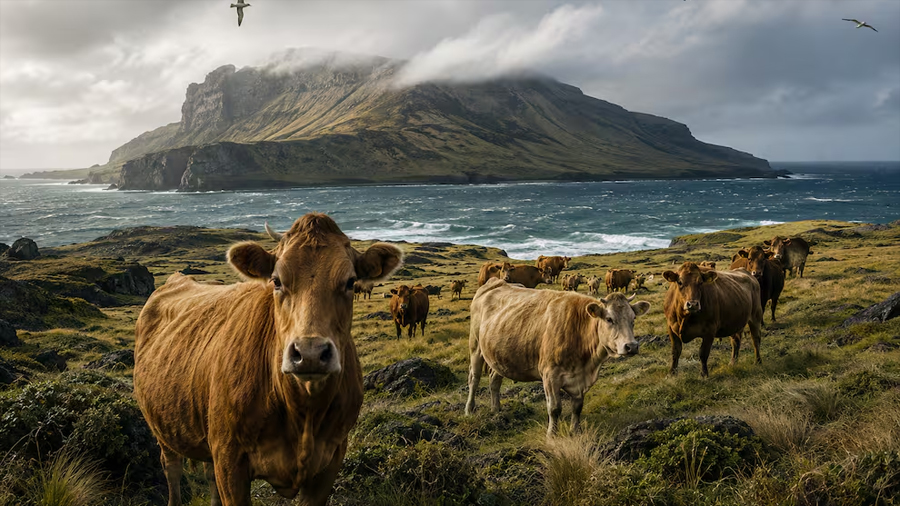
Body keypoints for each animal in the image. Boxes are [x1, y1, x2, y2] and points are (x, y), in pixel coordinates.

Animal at [133, 213, 403, 506]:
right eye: (276, 280)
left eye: (351, 282)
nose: (310, 353)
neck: (303, 413)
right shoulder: (229, 458)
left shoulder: (331, 460)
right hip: (162, 426)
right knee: (172, 468)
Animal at [466, 278, 650, 435]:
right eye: (609, 319)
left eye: (633, 318)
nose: (631, 346)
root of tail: (496, 282)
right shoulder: (550, 375)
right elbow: (554, 408)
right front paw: (551, 435)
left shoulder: (580, 381)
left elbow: (577, 407)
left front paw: (575, 431)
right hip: (475, 346)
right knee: (474, 378)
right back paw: (469, 410)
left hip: (498, 354)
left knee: (494, 380)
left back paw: (496, 410)